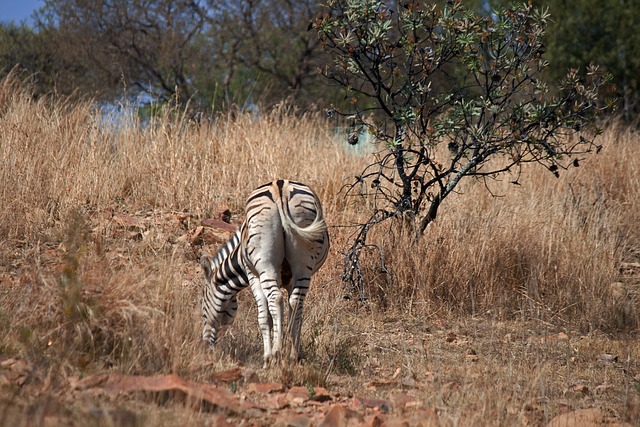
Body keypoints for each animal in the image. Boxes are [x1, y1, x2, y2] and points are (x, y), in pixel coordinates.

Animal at [200, 181, 330, 368]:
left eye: (203, 307)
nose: (204, 348)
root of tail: (280, 187)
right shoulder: (289, 280)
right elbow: (290, 314)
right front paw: (293, 351)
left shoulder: (253, 274)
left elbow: (264, 317)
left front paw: (268, 356)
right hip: (303, 264)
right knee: (296, 302)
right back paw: (293, 356)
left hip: (265, 262)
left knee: (275, 298)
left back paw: (274, 353)